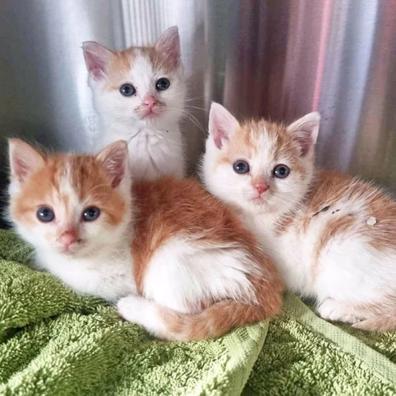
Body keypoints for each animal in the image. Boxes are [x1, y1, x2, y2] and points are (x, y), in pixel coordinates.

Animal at [7, 138, 284, 340]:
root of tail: (268, 291)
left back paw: (135, 309)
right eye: (45, 214)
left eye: (90, 214)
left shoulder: (116, 278)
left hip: (170, 260)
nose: (67, 238)